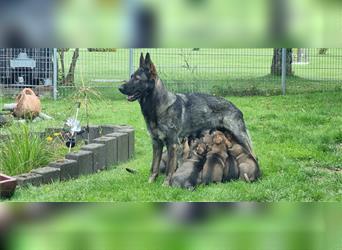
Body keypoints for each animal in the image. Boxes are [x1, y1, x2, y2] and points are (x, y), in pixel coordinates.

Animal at [119, 52, 255, 186]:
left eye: (137, 79)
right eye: (131, 76)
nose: (119, 88)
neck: (158, 107)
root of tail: (235, 106)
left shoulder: (172, 144)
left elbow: (169, 169)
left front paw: (166, 185)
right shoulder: (156, 143)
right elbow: (154, 167)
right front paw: (150, 182)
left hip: (241, 137)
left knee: (253, 154)